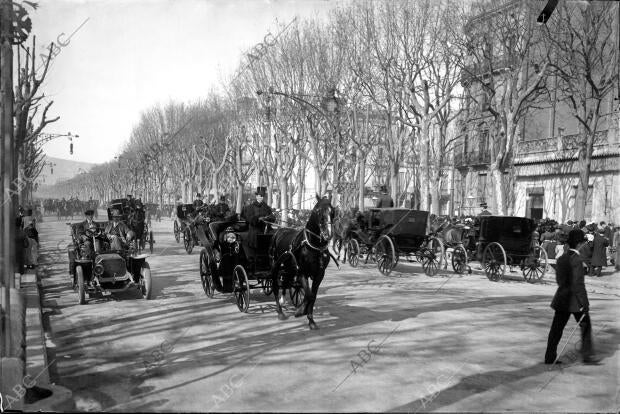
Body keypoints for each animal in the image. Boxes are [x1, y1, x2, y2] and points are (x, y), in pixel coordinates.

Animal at [268, 195, 332, 330]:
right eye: (318, 211)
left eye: (332, 210)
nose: (327, 234)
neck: (313, 246)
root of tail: (278, 231)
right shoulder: (302, 272)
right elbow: (309, 294)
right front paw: (300, 311)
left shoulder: (319, 274)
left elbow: (312, 295)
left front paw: (311, 320)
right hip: (275, 267)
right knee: (275, 286)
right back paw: (280, 311)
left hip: (288, 269)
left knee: (285, 283)